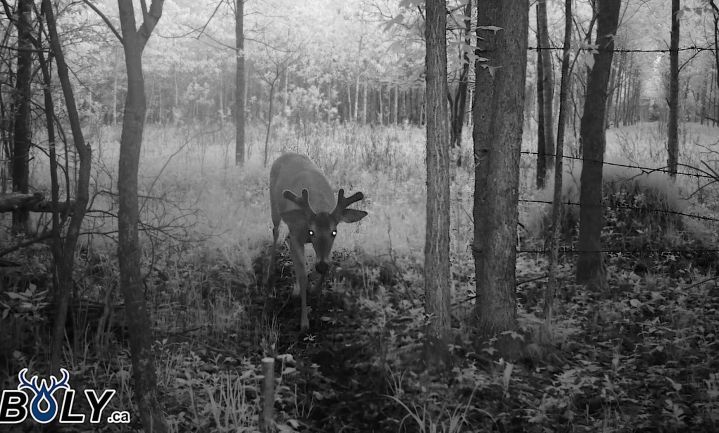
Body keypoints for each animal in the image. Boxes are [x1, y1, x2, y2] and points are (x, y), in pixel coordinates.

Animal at [268, 153, 368, 330]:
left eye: (334, 232)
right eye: (311, 231)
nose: (320, 265)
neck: (318, 205)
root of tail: (286, 154)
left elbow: (326, 266)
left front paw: (315, 290)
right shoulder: (296, 235)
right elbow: (303, 275)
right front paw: (304, 323)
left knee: (285, 239)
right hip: (274, 205)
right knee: (276, 231)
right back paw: (270, 274)